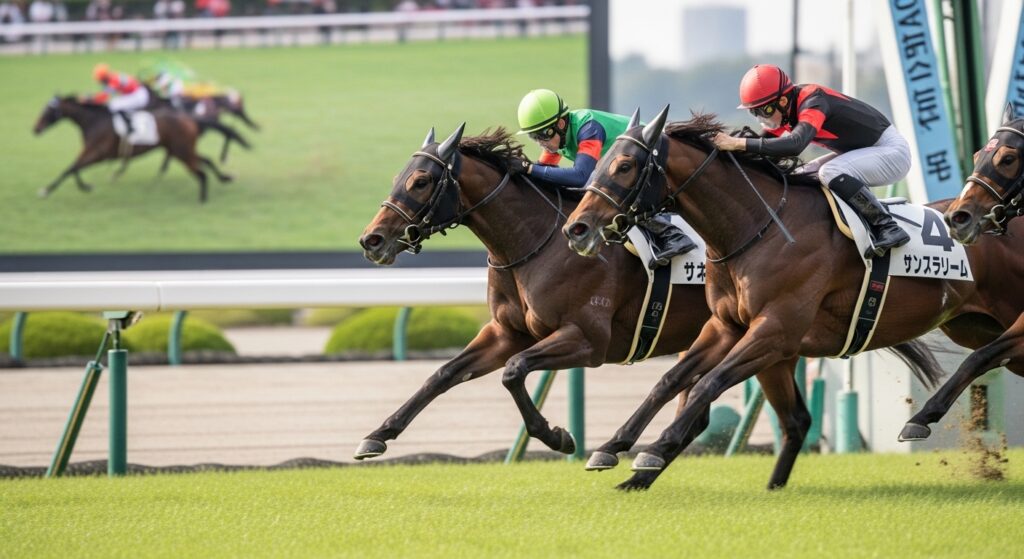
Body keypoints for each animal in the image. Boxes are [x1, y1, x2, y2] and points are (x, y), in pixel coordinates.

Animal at [33, 96, 233, 203]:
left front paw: (47, 190)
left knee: (201, 173)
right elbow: (72, 168)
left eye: (47, 111)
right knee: (205, 162)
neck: (95, 121)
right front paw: (85, 186)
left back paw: (203, 199)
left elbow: (72, 168)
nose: (35, 129)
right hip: (181, 150)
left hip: (181, 151)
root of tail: (189, 118)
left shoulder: (99, 154)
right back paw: (224, 178)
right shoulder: (91, 152)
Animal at [354, 124, 938, 481]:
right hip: (769, 337)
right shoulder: (505, 331)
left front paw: (557, 436)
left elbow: (515, 371)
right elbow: (443, 374)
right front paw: (377, 436)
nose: (371, 239)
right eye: (400, 176)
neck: (536, 241)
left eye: (421, 180)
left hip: (769, 331)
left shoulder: (587, 341)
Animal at [562, 107, 1023, 491]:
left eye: (624, 166)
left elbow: (708, 383)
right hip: (975, 326)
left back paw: (919, 419)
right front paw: (613, 450)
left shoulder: (776, 331)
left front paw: (653, 451)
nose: (576, 228)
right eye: (601, 162)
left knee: (980, 359)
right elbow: (670, 381)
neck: (758, 227)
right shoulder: (726, 326)